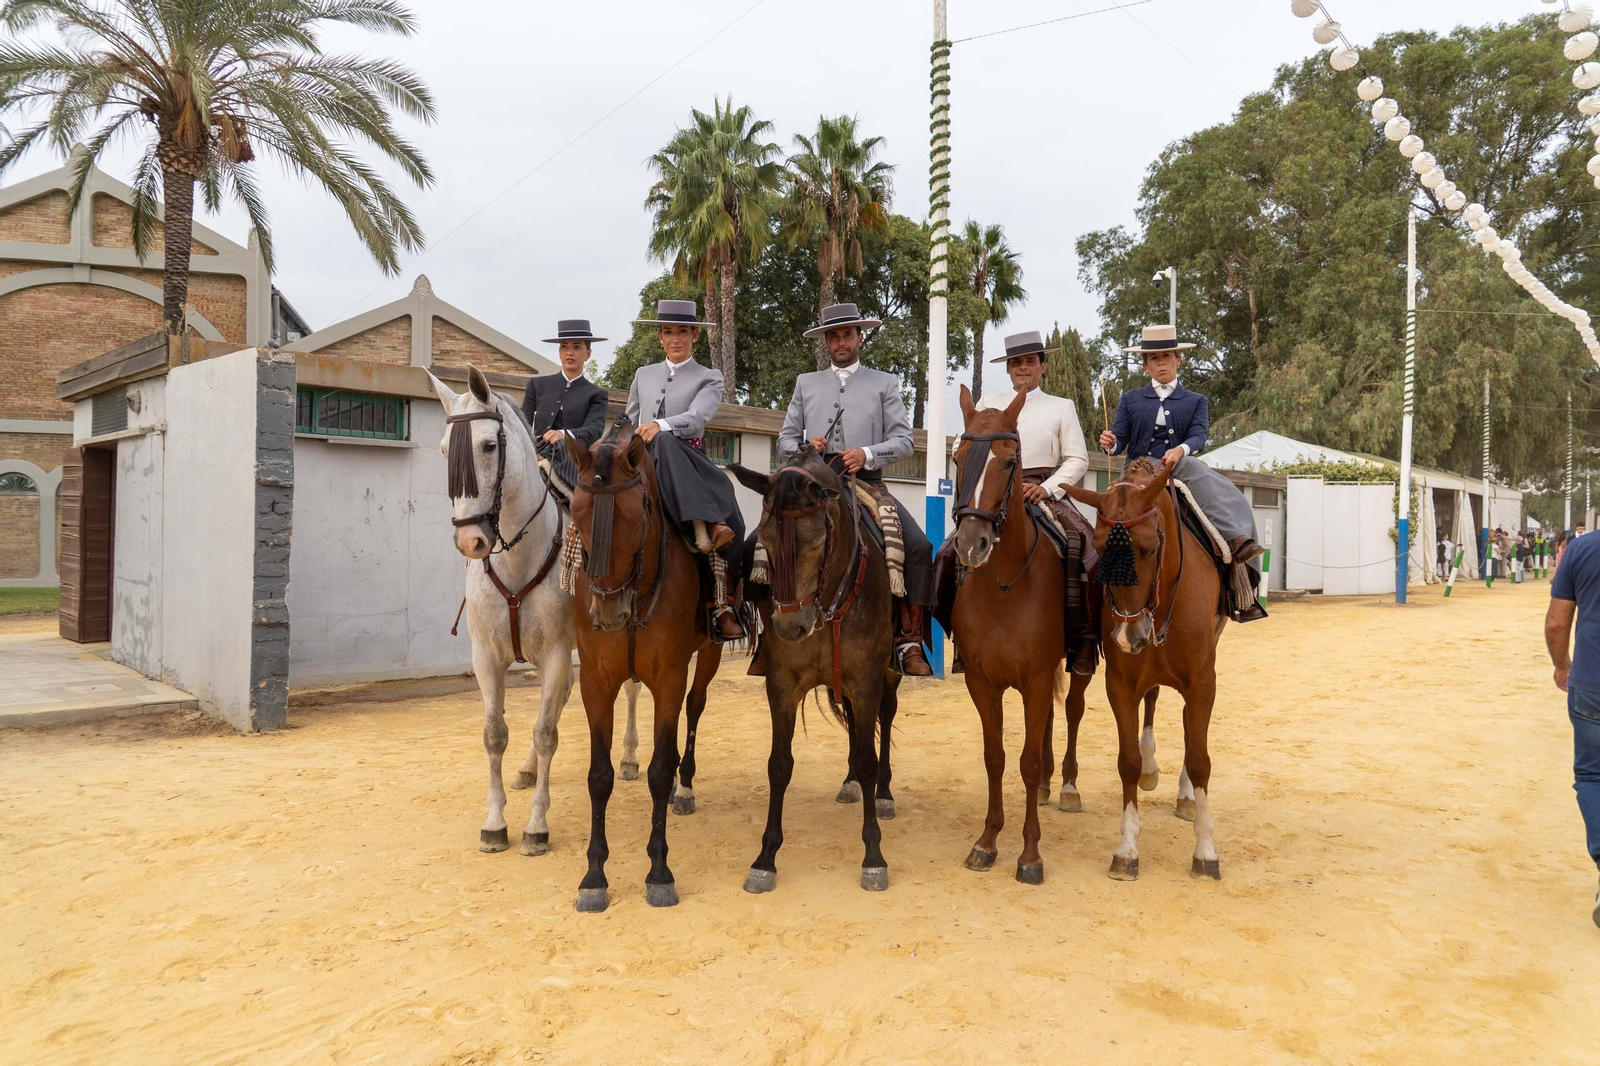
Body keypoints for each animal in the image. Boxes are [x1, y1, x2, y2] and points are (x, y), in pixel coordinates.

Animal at [430, 368, 575, 860]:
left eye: (490, 445)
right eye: (444, 450)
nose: (470, 541)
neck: (518, 558)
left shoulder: (556, 653)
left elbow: (546, 734)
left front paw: (536, 827)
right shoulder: (487, 658)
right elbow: (496, 734)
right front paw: (494, 824)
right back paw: (528, 771)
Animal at [563, 420, 727, 912]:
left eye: (636, 519)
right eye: (576, 514)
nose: (608, 612)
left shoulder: (669, 679)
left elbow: (659, 768)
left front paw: (659, 872)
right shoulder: (595, 682)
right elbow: (599, 776)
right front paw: (594, 877)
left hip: (708, 653)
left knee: (695, 709)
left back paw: (684, 787)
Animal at [729, 446, 901, 894]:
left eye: (818, 541)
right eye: (765, 538)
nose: (790, 627)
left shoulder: (868, 680)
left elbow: (869, 757)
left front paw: (873, 857)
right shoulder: (782, 686)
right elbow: (779, 764)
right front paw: (765, 859)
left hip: (889, 675)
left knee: (886, 719)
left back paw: (884, 793)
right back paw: (850, 783)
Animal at [949, 386, 1093, 883]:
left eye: (1010, 461)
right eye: (957, 457)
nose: (971, 544)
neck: (1003, 588)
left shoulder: (1035, 677)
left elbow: (1026, 762)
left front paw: (1030, 854)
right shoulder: (982, 682)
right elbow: (995, 758)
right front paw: (986, 842)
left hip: (1081, 664)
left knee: (1071, 711)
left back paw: (1066, 786)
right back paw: (1051, 785)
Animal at [1061, 456, 1226, 880]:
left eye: (1151, 549)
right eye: (1100, 549)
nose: (1127, 636)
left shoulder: (1202, 683)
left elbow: (1199, 759)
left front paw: (1206, 851)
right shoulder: (1120, 684)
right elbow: (1128, 762)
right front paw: (1127, 850)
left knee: (1187, 728)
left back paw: (1186, 798)